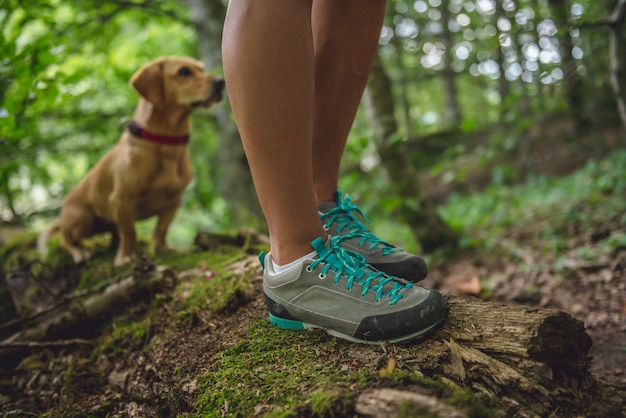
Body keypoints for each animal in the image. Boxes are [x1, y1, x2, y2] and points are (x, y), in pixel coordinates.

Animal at [39, 55, 224, 266]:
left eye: (202, 69)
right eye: (184, 71)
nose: (221, 82)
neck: (165, 142)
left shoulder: (173, 201)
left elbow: (161, 229)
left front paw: (162, 249)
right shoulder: (122, 200)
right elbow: (129, 232)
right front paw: (126, 256)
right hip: (82, 220)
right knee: (65, 240)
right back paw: (80, 252)